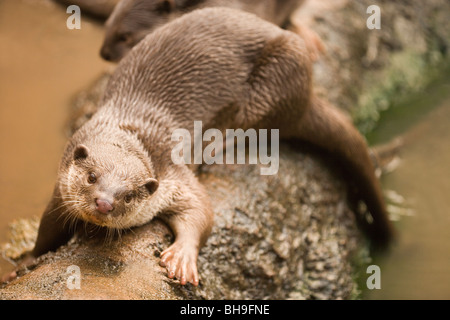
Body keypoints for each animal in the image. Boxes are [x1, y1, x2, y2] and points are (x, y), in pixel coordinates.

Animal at [5, 8, 396, 286]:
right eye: (91, 178)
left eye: (129, 195)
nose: (104, 203)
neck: (131, 132)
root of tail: (308, 91)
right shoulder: (62, 187)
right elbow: (47, 230)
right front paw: (24, 262)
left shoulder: (171, 172)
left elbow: (201, 209)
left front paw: (182, 256)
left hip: (276, 80)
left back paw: (218, 142)